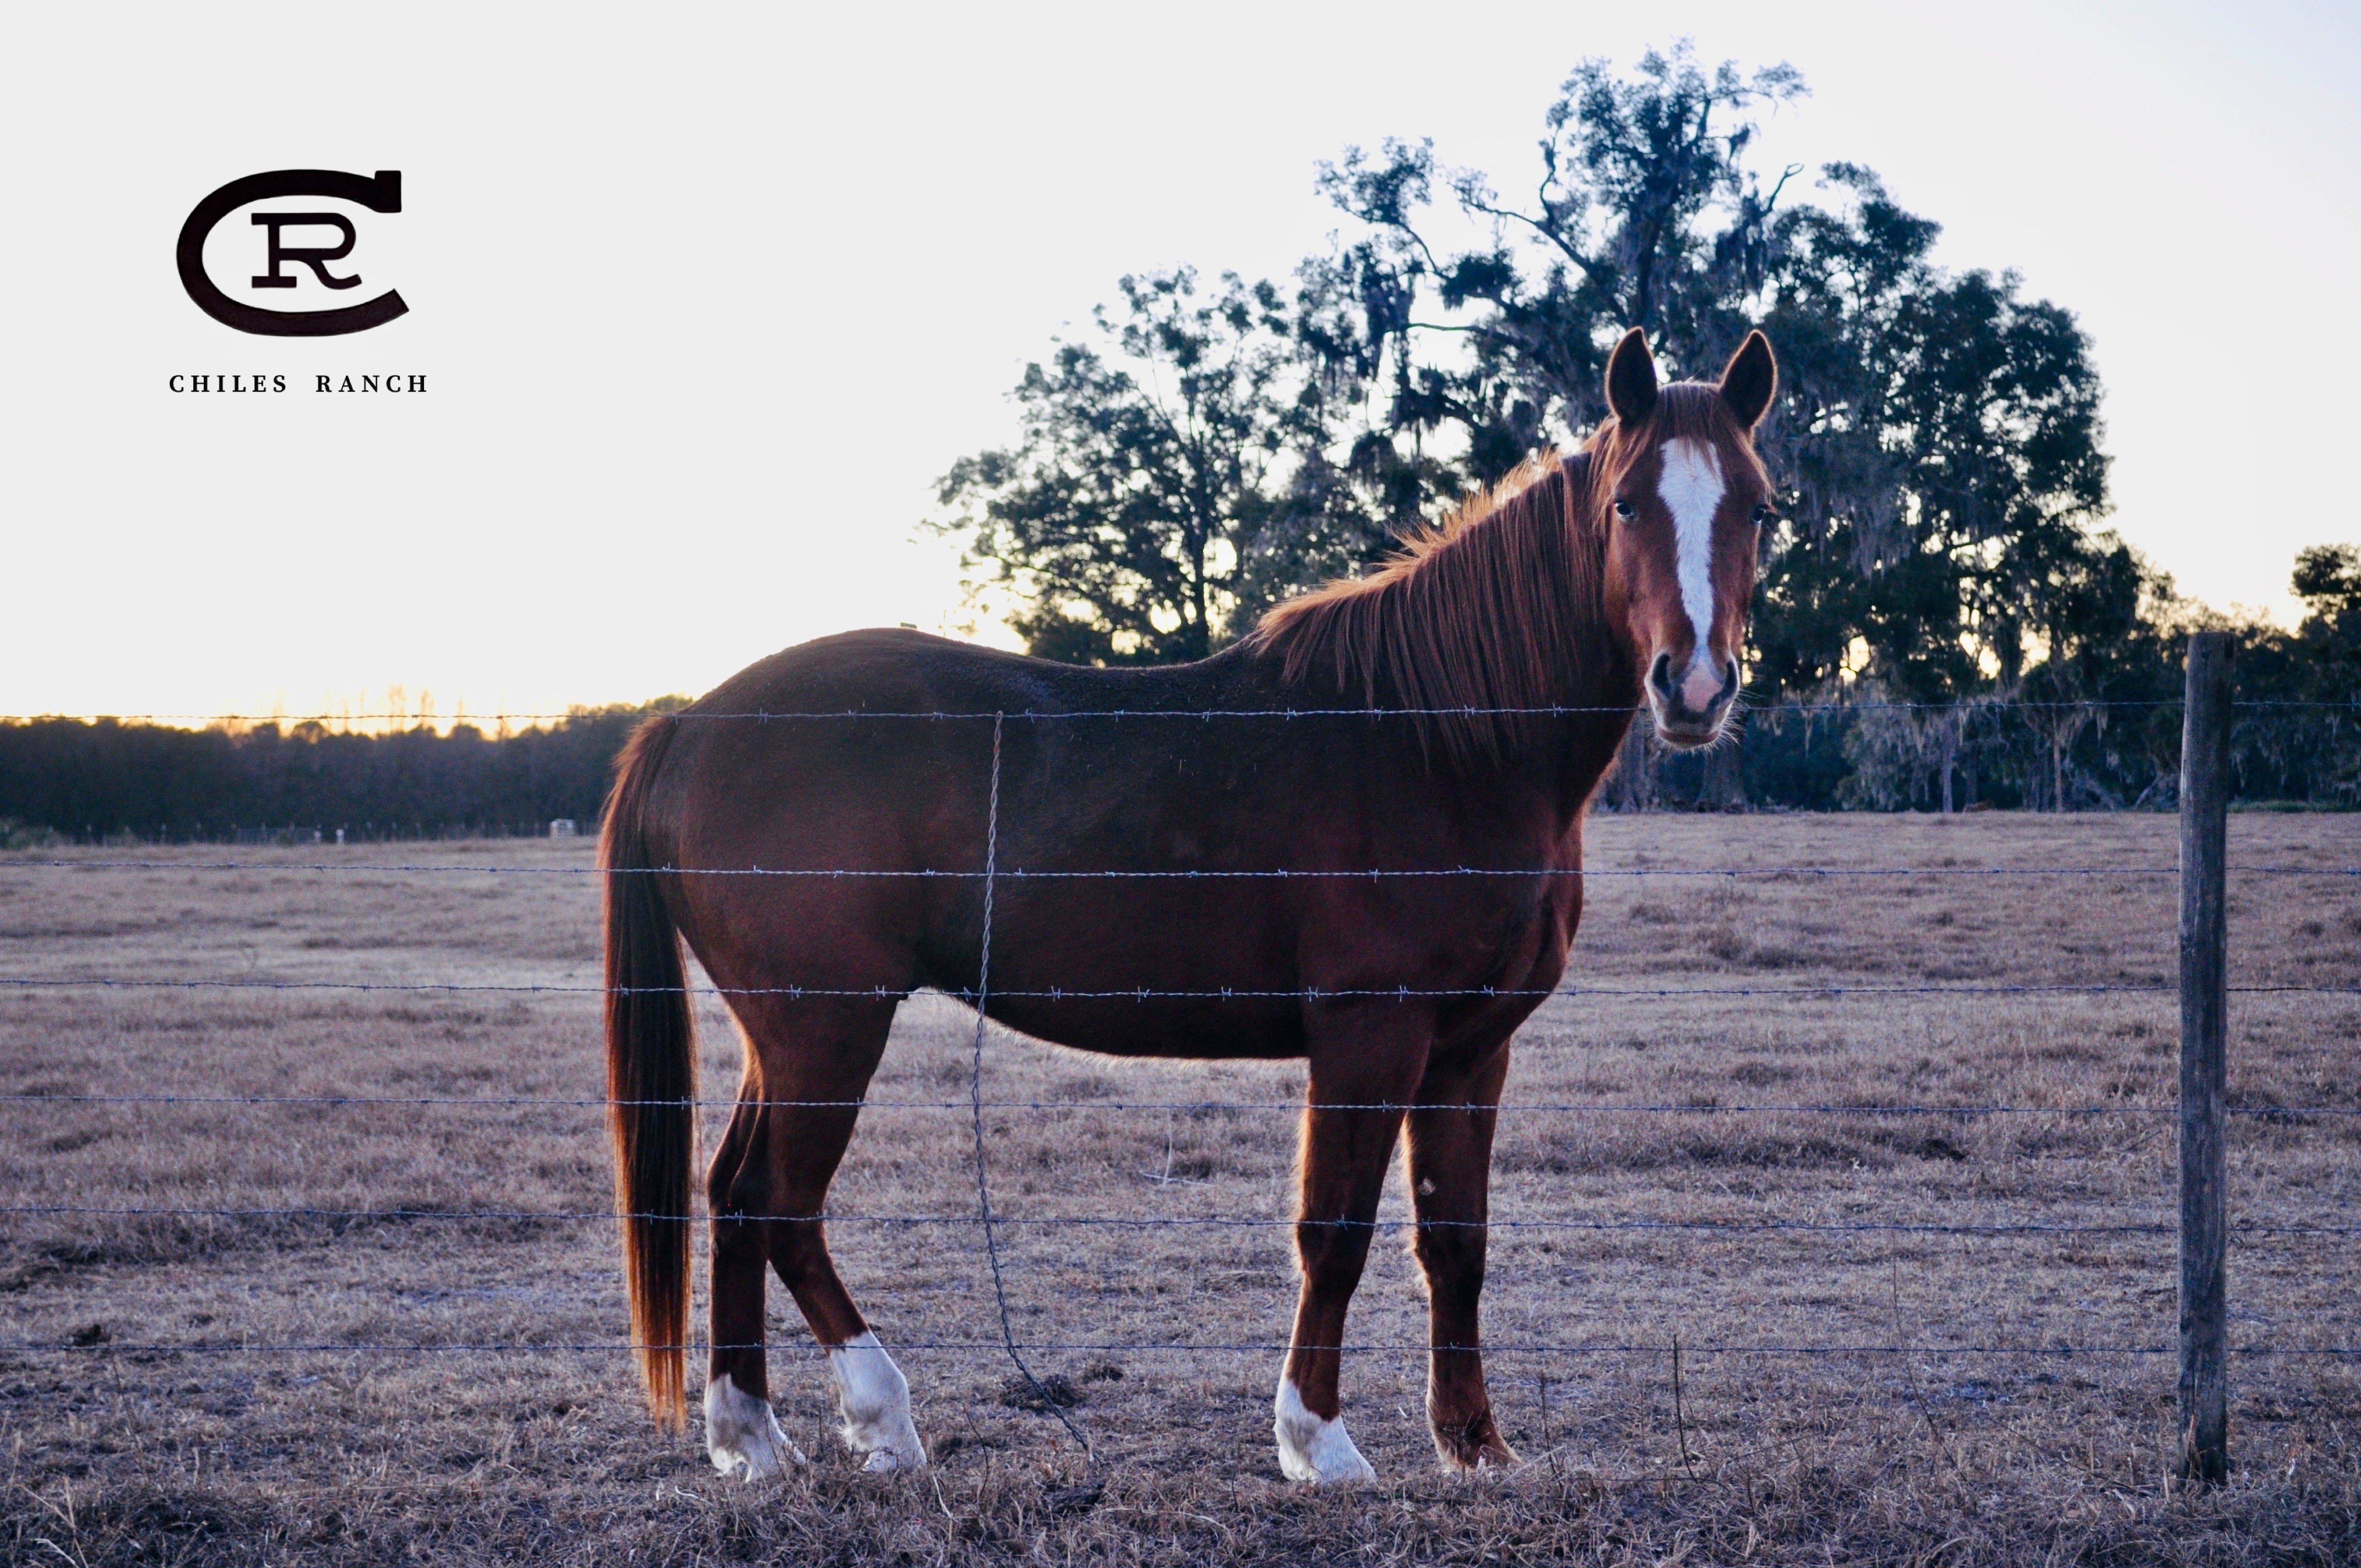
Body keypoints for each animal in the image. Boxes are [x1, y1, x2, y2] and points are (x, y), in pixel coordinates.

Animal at [601, 326, 1778, 1484]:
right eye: (1626, 504)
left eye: (1758, 507)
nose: (1693, 686)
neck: (1442, 742)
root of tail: (685, 726)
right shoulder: (1369, 1030)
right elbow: (1335, 1230)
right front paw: (1319, 1440)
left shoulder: (1469, 1047)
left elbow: (1454, 1239)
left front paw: (1474, 1442)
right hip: (827, 1028)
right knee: (778, 1204)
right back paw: (880, 1418)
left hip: (789, 1035)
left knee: (730, 1196)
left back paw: (751, 1436)